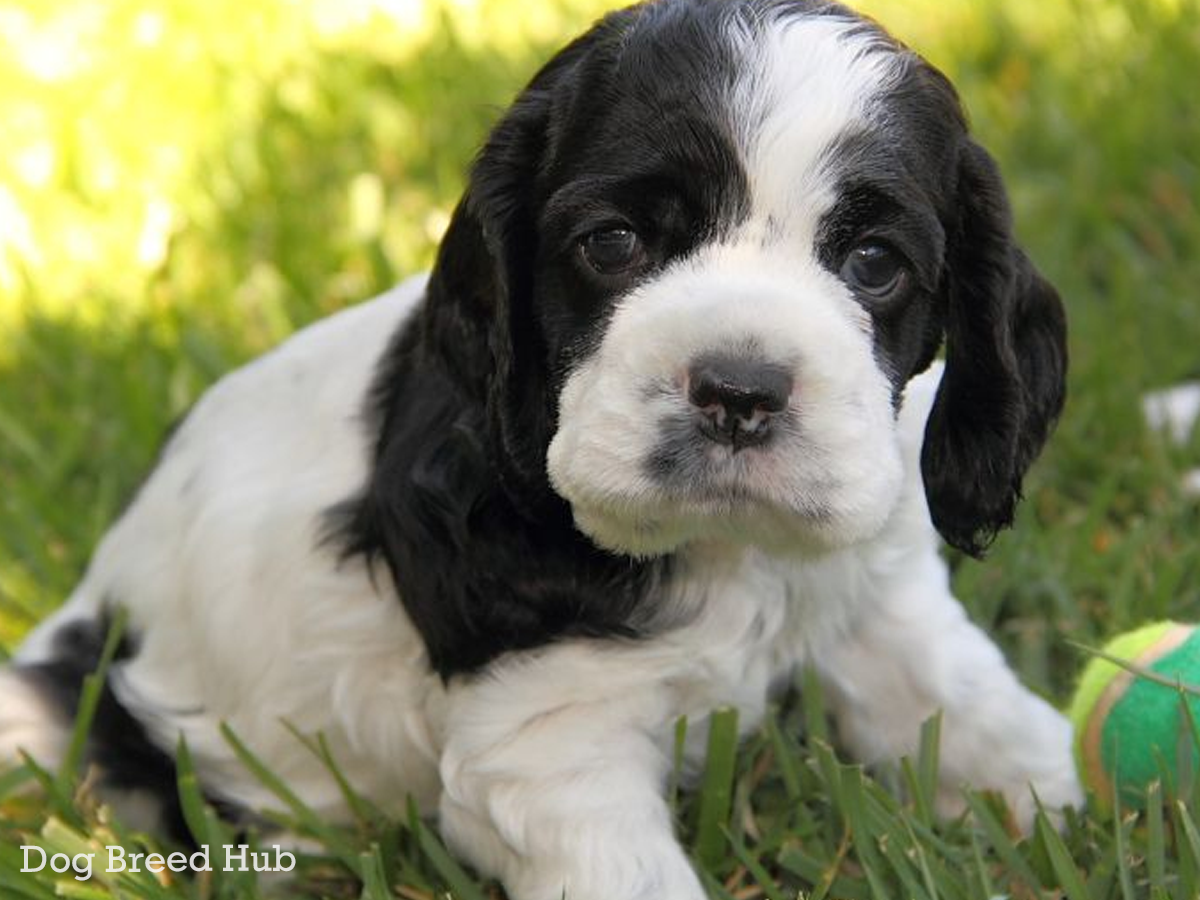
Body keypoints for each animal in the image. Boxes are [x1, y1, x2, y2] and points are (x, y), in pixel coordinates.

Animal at [0, 1, 1084, 900]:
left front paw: (1070, 809)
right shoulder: (549, 739)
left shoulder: (877, 587)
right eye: (613, 243)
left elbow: (964, 702)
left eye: (873, 263)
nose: (738, 392)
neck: (733, 550)